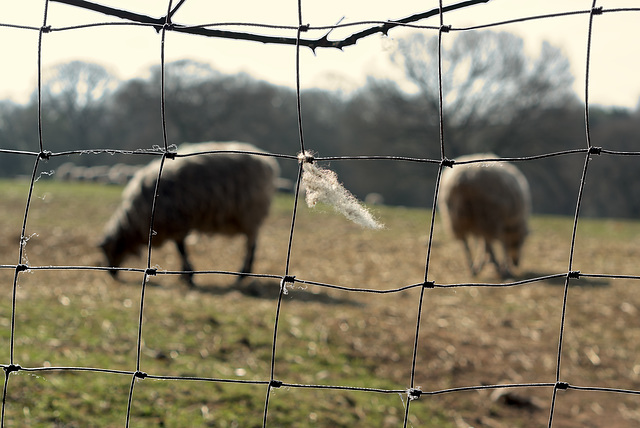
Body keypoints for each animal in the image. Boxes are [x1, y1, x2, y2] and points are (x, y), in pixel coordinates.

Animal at [100, 142, 280, 286]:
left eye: (109, 251)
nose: (111, 274)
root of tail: (269, 163)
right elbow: (181, 248)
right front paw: (186, 275)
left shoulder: (175, 223)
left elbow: (181, 249)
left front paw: (189, 275)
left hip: (250, 214)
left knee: (251, 246)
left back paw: (242, 274)